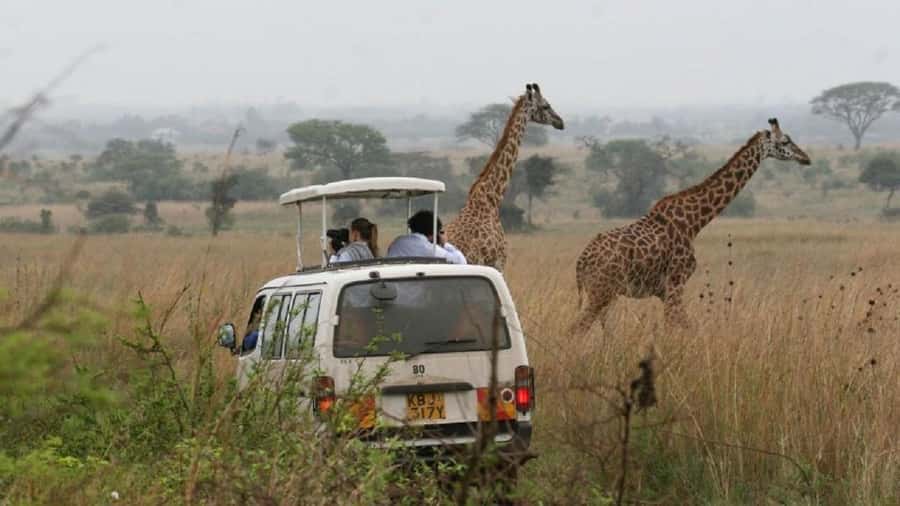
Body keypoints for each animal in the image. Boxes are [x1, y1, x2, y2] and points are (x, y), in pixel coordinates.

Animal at [572, 119, 811, 333]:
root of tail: (581, 262)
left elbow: (685, 327)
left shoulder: (666, 291)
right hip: (601, 292)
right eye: (786, 141)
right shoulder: (675, 284)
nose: (806, 158)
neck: (693, 222)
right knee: (576, 329)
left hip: (604, 294)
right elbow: (677, 328)